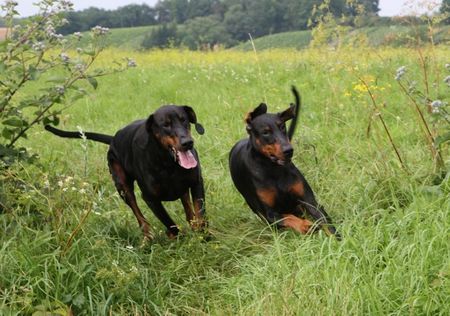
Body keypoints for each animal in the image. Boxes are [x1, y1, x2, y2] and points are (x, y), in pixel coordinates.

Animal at [44, 105, 207, 241]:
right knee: (139, 216)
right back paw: (147, 239)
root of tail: (113, 139)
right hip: (123, 187)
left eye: (184, 120)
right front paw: (177, 237)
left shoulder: (197, 183)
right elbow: (169, 223)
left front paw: (203, 237)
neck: (168, 164)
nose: (188, 143)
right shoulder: (150, 198)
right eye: (166, 125)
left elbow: (200, 215)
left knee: (187, 205)